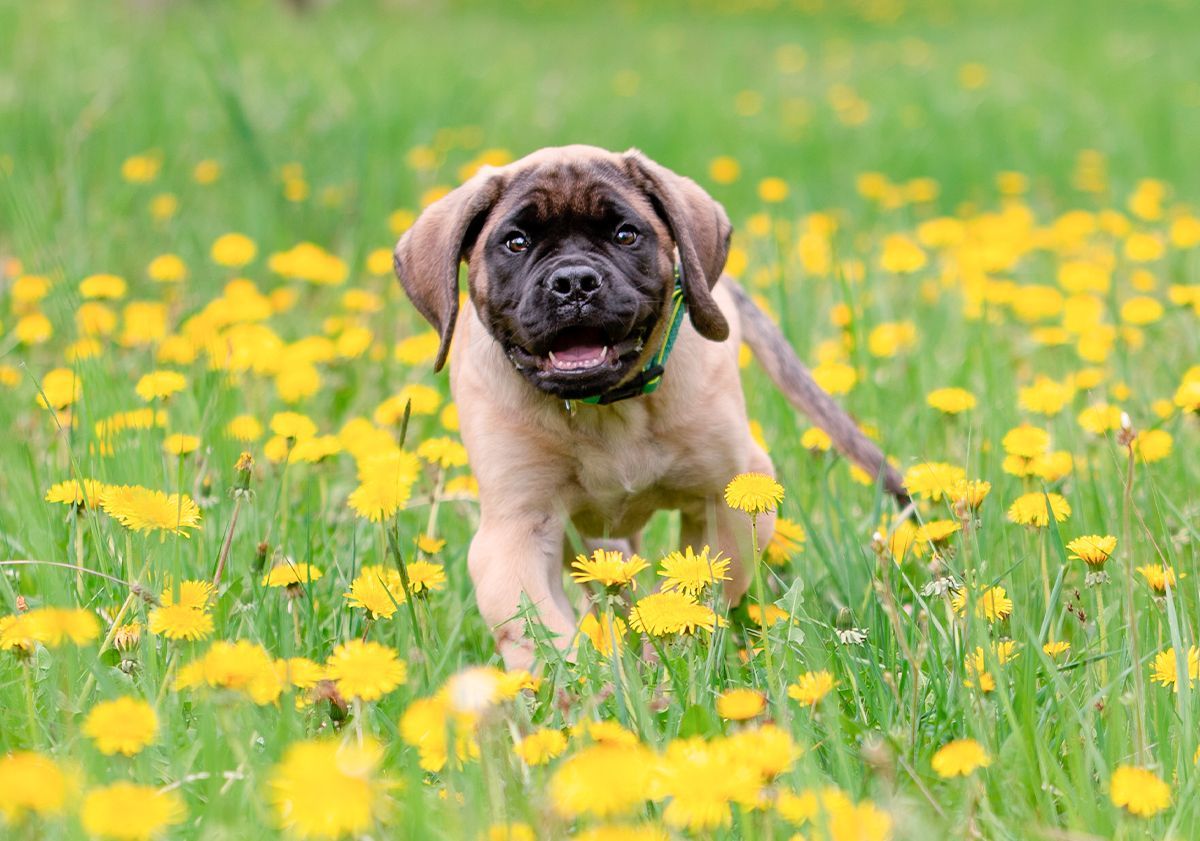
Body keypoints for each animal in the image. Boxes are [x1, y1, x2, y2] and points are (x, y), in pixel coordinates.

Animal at [398, 145, 902, 667]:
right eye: (515, 242)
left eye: (626, 234)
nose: (574, 282)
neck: (605, 409)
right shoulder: (516, 530)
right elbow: (543, 632)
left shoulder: (730, 496)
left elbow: (693, 589)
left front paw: (664, 657)